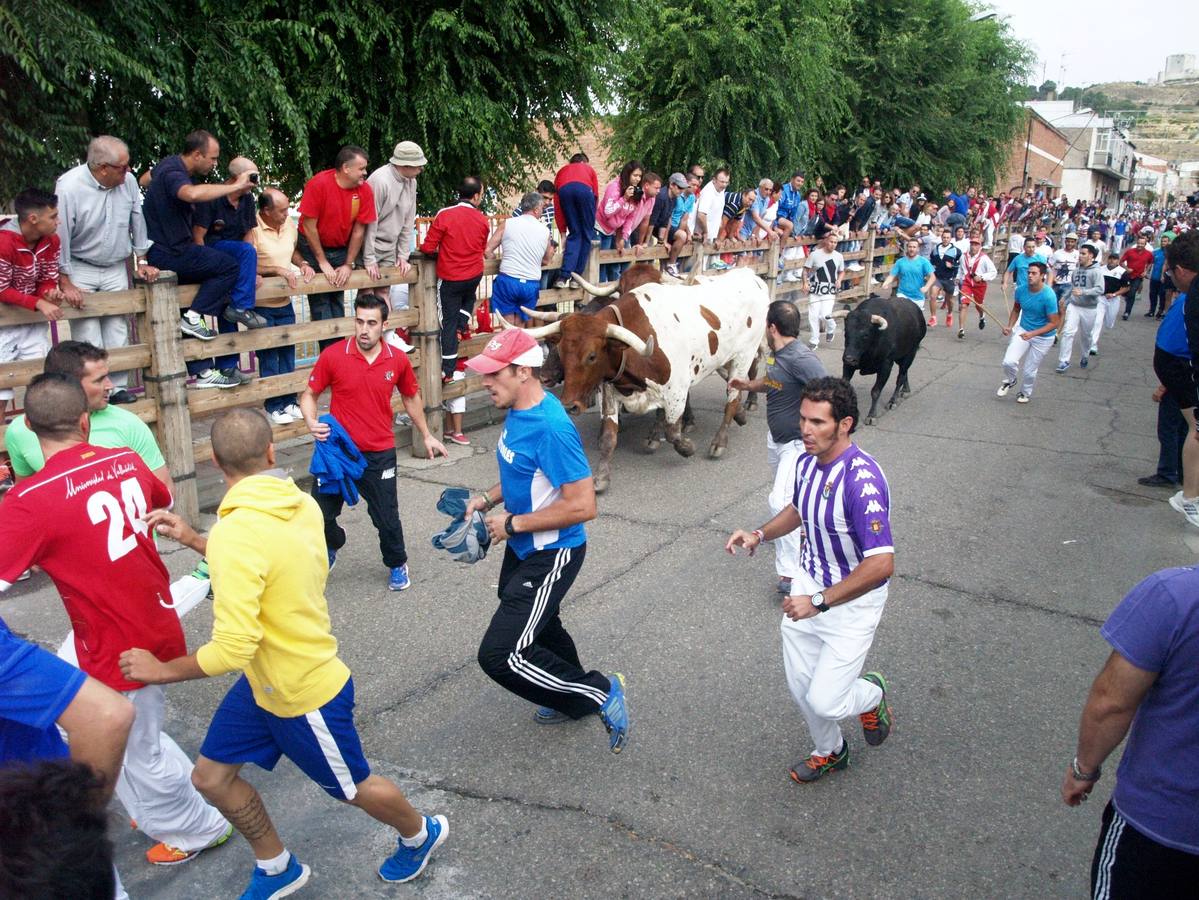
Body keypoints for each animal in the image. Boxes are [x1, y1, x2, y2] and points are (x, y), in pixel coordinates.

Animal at [503, 267, 767, 493]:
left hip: (745, 354)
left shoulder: (676, 390)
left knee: (735, 392)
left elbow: (672, 431)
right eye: (560, 350)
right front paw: (601, 477)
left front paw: (685, 446)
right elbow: (609, 437)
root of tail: (752, 275)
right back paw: (742, 415)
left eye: (592, 356)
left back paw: (722, 438)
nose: (569, 405)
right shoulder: (611, 393)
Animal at [844, 292, 925, 426]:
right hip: (901, 356)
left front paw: (871, 416)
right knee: (905, 373)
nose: (849, 358)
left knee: (901, 376)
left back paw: (893, 401)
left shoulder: (886, 365)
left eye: (865, 334)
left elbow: (876, 391)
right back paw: (906, 390)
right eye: (846, 332)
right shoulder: (848, 365)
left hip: (910, 353)